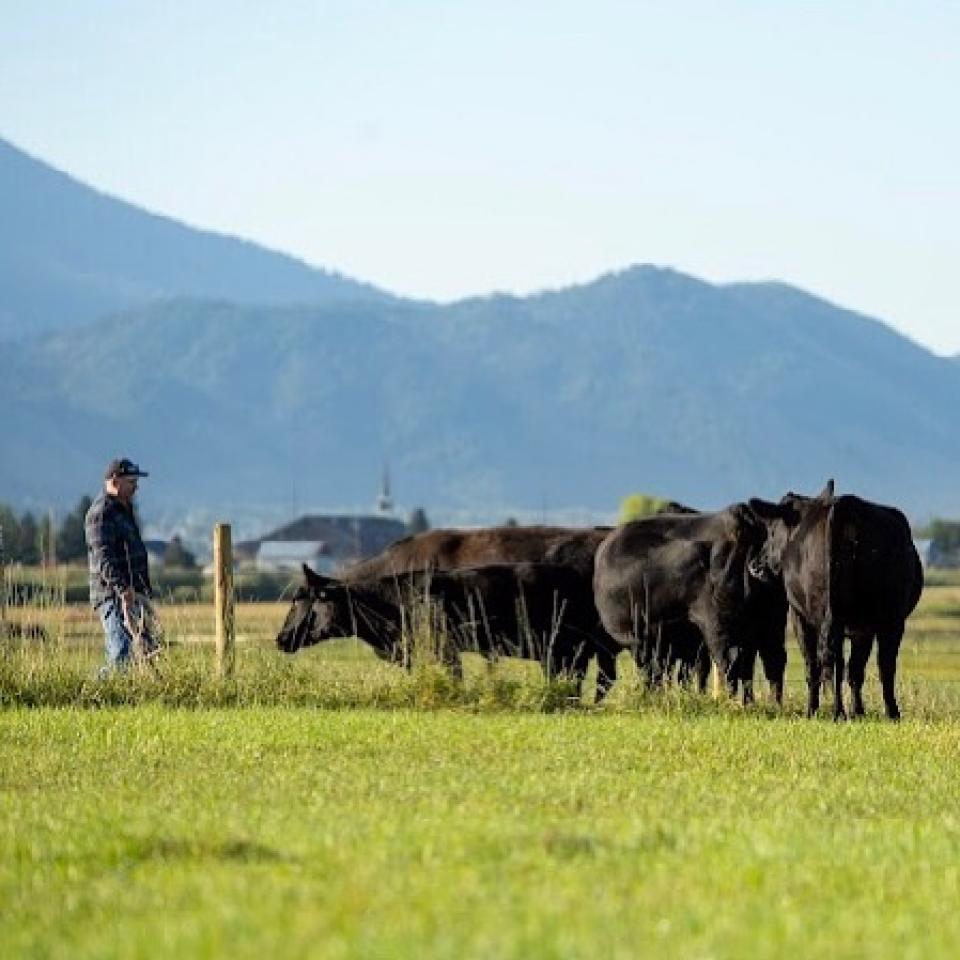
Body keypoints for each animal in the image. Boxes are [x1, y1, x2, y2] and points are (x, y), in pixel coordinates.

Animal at [752, 480, 924, 720]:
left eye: (771, 531)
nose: (755, 565)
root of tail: (844, 505)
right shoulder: (863, 628)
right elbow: (854, 669)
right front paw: (857, 711)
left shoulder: (798, 614)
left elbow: (817, 665)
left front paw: (819, 710)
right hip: (885, 617)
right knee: (878, 664)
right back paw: (881, 712)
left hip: (850, 616)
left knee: (838, 662)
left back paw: (840, 711)